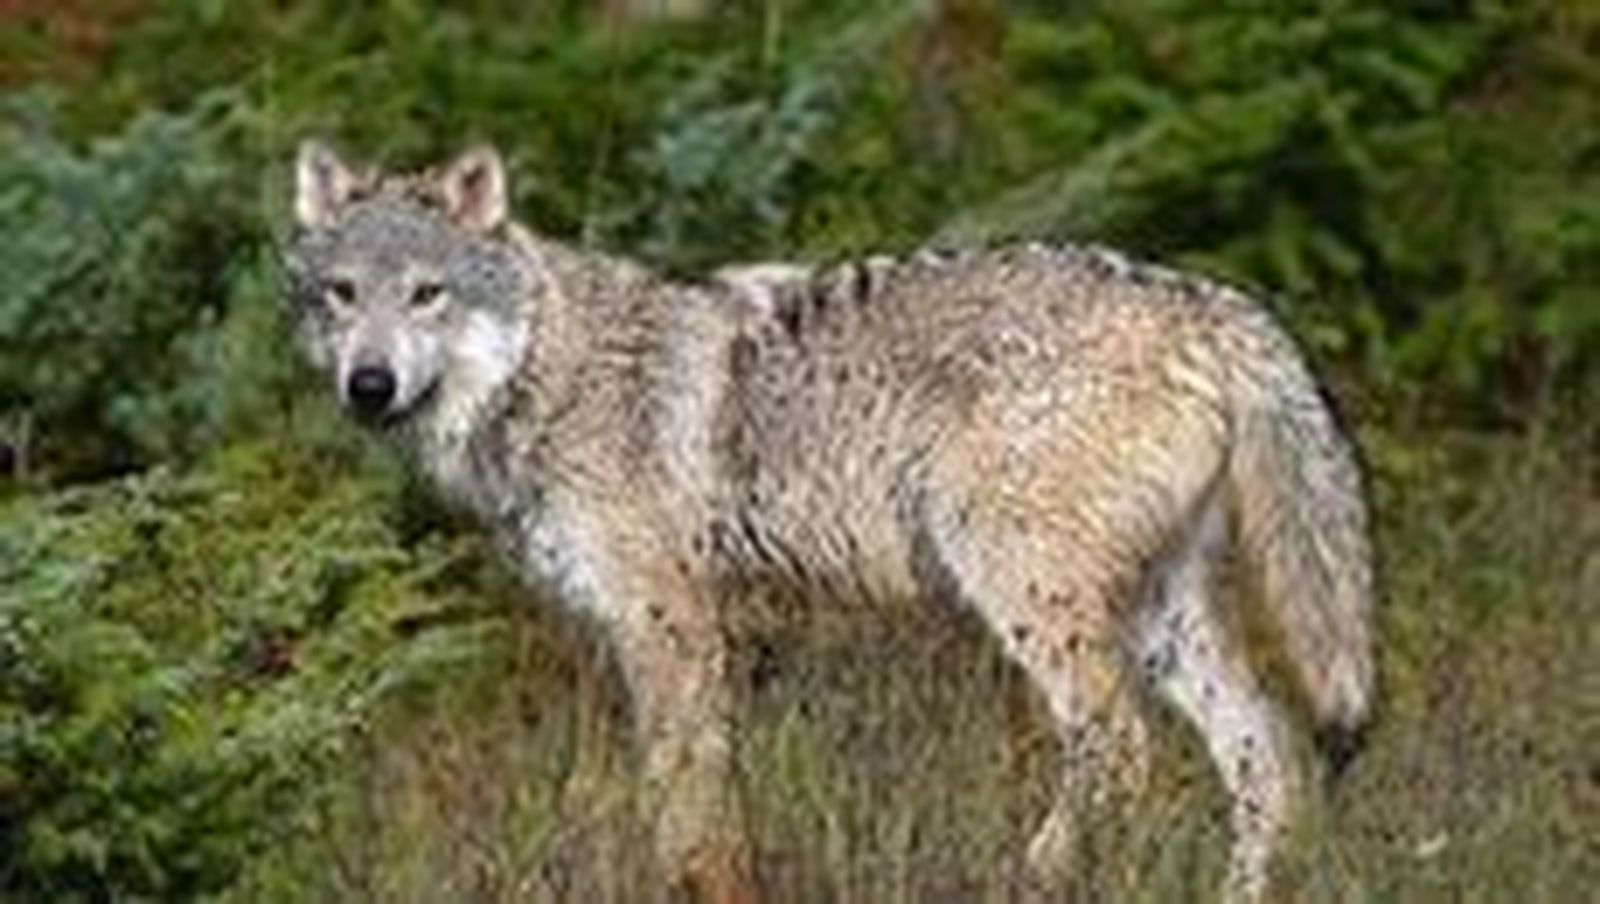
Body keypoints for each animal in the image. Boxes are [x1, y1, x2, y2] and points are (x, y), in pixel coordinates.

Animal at [283, 141, 1376, 903]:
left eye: (427, 295)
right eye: (342, 296)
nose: (367, 386)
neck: (546, 374)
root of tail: (1214, 303)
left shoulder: (670, 626)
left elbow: (684, 806)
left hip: (1025, 591)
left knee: (1120, 745)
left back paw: (1033, 871)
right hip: (1159, 618)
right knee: (1268, 753)